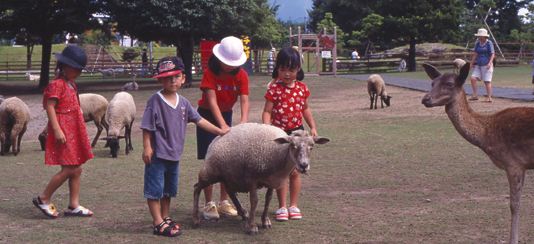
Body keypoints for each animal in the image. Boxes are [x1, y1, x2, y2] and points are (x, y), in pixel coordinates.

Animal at [193, 123, 330, 235]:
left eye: (312, 145)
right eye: (292, 145)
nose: (303, 165)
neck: (280, 154)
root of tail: (214, 140)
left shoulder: (272, 180)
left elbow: (268, 199)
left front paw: (266, 221)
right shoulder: (251, 179)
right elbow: (254, 201)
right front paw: (252, 227)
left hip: (229, 175)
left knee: (229, 190)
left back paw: (243, 213)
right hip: (210, 172)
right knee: (197, 188)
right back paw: (195, 219)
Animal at [426, 61, 534, 244]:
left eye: (449, 84)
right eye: (432, 83)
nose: (425, 98)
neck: (486, 135)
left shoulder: (512, 162)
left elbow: (514, 204)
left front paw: (513, 240)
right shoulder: (524, 165)